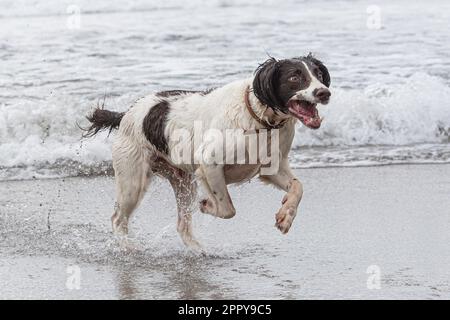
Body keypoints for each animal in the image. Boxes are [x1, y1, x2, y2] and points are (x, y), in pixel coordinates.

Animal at [83, 53, 330, 251]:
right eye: (294, 77)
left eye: (318, 74)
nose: (324, 92)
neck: (259, 120)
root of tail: (127, 113)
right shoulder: (209, 164)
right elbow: (227, 207)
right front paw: (208, 204)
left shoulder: (272, 167)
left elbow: (298, 187)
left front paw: (286, 216)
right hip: (133, 180)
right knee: (118, 219)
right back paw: (127, 247)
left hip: (183, 183)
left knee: (182, 225)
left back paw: (197, 250)